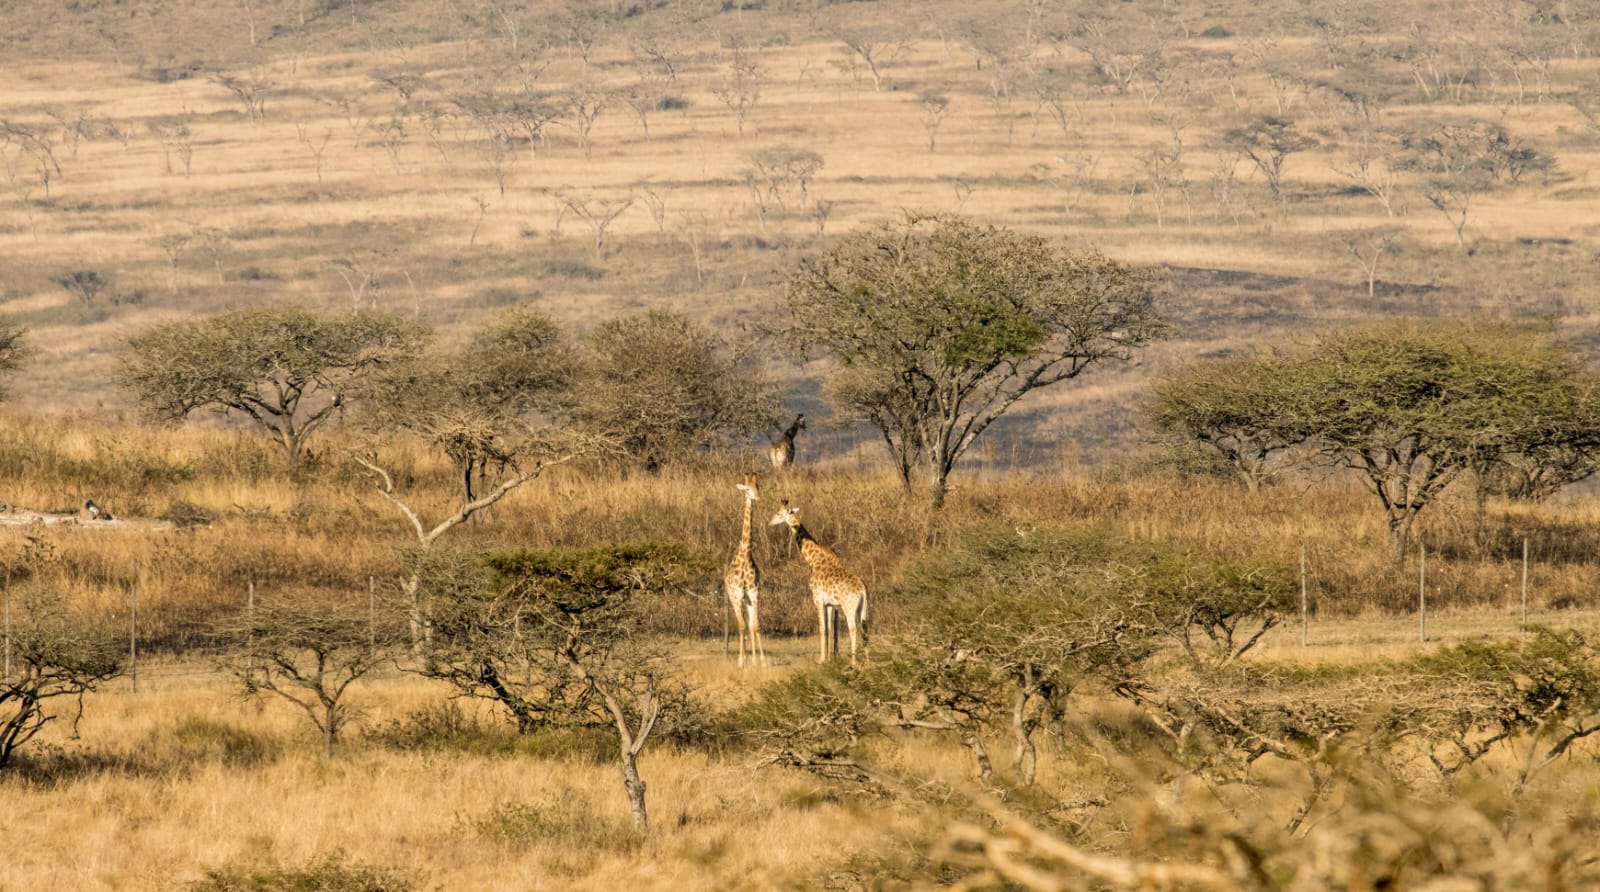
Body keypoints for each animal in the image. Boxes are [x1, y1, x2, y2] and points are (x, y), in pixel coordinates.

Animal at [769, 500, 868, 664]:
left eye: (778, 513)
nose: (769, 522)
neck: (813, 560)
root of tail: (863, 590)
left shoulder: (817, 599)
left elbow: (822, 628)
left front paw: (821, 659)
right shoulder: (829, 603)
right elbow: (828, 629)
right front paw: (827, 659)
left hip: (849, 607)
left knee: (853, 629)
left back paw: (853, 662)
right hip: (863, 608)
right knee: (865, 629)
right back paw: (867, 661)